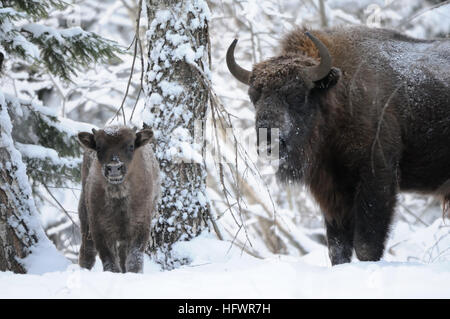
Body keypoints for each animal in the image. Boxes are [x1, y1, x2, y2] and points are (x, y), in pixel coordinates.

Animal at [77, 126, 160, 274]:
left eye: (131, 145)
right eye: (99, 146)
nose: (115, 168)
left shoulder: (140, 227)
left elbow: (134, 258)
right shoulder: (99, 229)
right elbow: (109, 260)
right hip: (85, 216)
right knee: (87, 250)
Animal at [229, 25, 450, 264]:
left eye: (297, 95)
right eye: (254, 97)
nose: (268, 140)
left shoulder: (377, 180)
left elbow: (365, 245)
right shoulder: (331, 191)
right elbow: (337, 247)